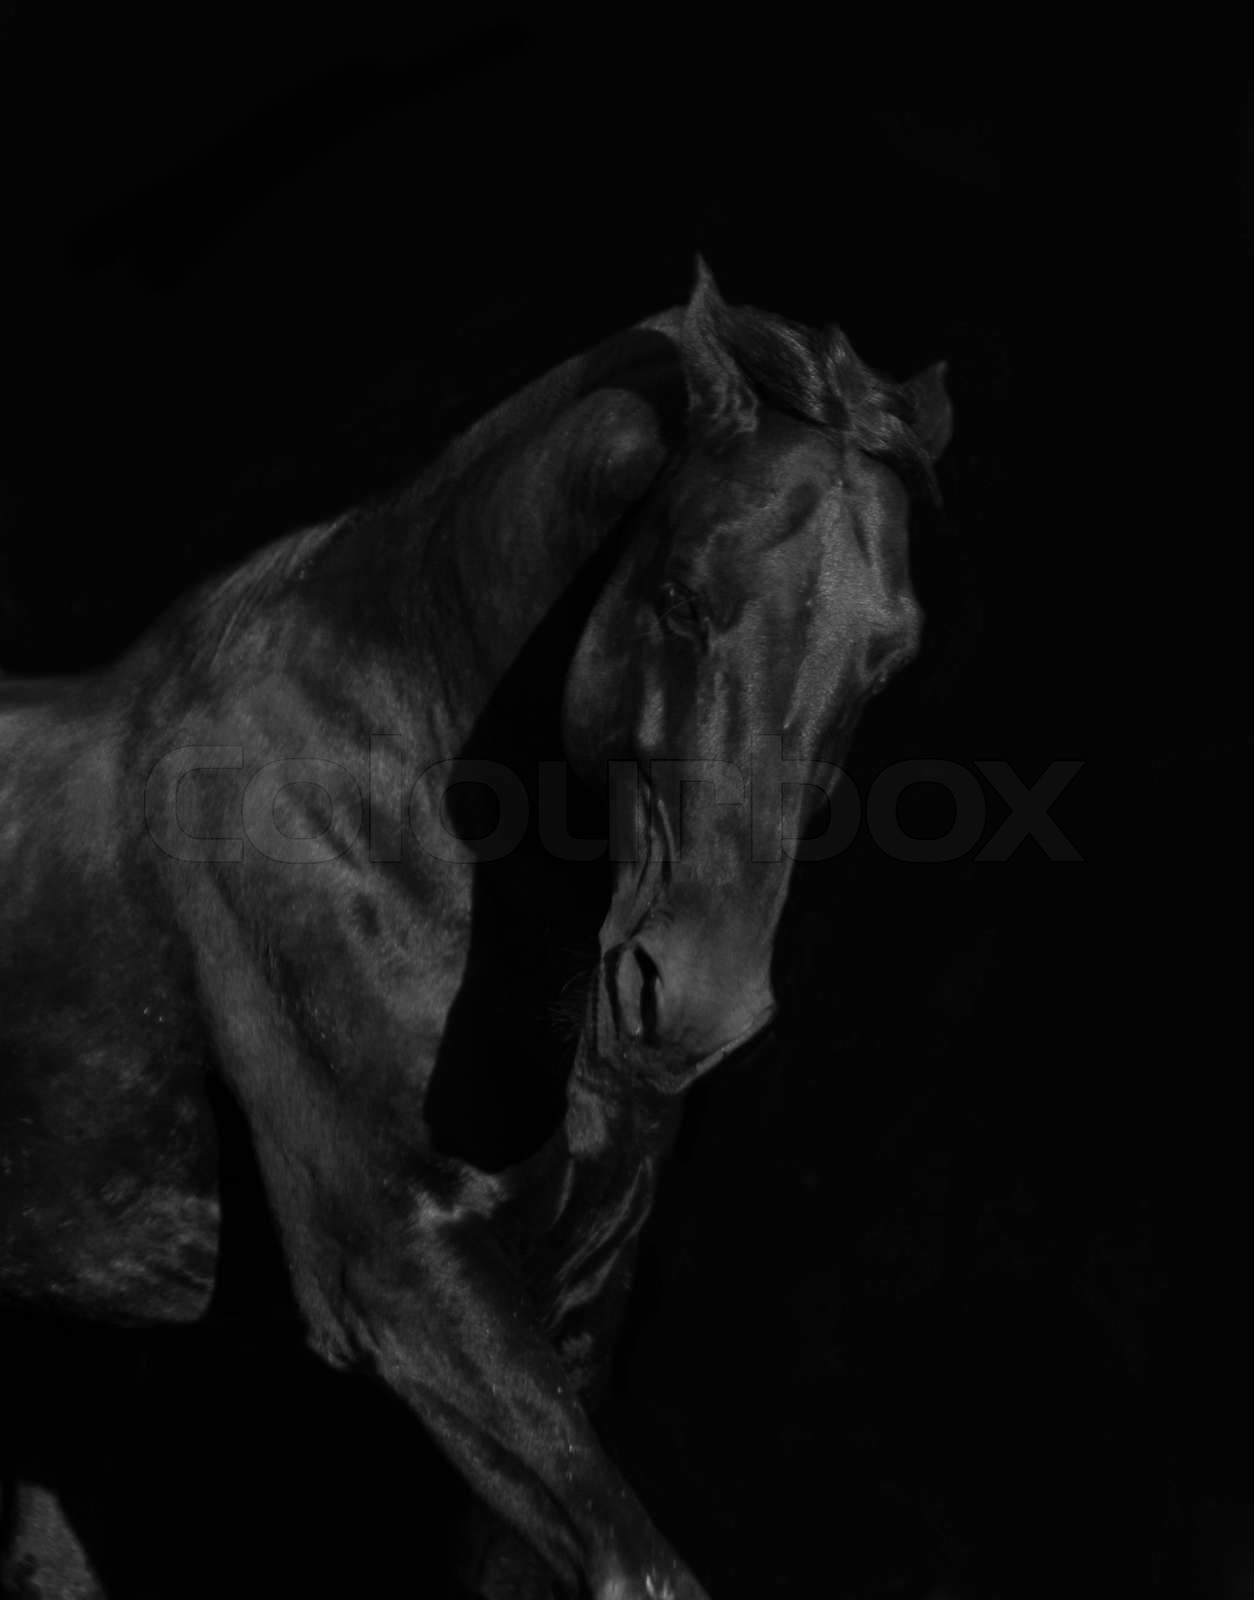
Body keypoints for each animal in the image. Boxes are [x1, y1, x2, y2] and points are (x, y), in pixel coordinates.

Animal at [0, 262, 951, 1600]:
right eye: (682, 594)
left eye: (888, 654)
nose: (694, 1001)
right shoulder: (402, 1273)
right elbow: (640, 1571)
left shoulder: (576, 1299)